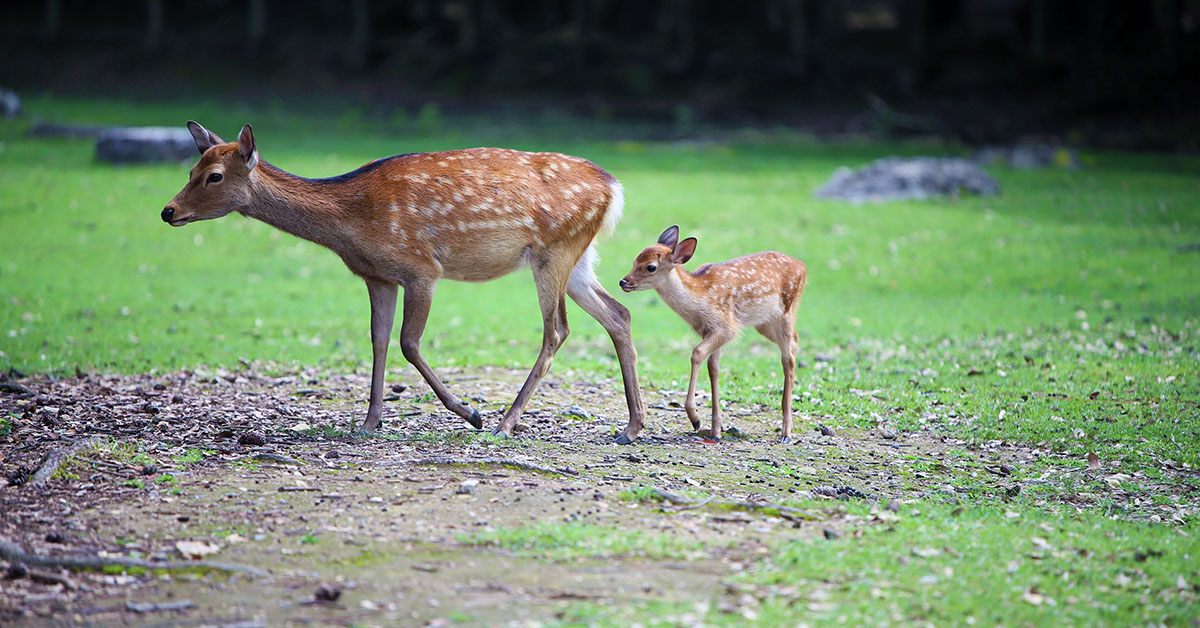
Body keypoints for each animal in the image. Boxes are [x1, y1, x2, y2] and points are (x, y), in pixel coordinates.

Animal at [166, 121, 648, 441]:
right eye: (190, 170)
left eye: (213, 176)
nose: (168, 211)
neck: (350, 221)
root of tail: (614, 188)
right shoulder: (377, 275)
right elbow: (378, 339)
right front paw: (368, 422)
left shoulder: (421, 268)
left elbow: (408, 343)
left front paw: (468, 411)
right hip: (579, 257)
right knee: (619, 314)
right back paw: (631, 425)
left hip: (554, 251)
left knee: (557, 329)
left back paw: (503, 422)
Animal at [619, 225, 806, 441]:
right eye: (635, 260)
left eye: (650, 267)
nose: (623, 281)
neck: (700, 299)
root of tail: (803, 267)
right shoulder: (709, 331)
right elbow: (713, 368)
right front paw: (715, 430)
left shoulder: (726, 327)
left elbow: (697, 353)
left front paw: (695, 418)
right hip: (764, 323)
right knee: (795, 340)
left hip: (787, 310)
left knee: (788, 356)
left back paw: (786, 431)